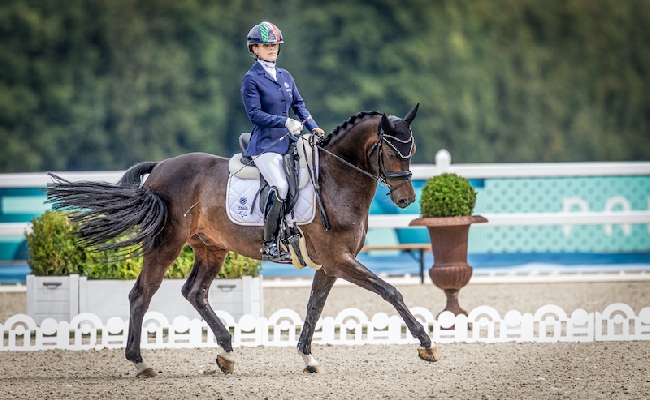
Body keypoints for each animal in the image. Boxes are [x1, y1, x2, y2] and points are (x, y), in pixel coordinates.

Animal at [48, 102, 438, 376]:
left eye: (412, 150)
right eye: (390, 151)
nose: (406, 199)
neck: (336, 181)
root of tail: (161, 166)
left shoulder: (329, 263)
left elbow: (314, 306)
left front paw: (308, 358)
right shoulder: (339, 259)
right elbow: (390, 291)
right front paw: (426, 344)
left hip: (211, 248)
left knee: (195, 292)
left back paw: (225, 352)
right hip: (166, 244)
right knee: (142, 294)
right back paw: (141, 363)